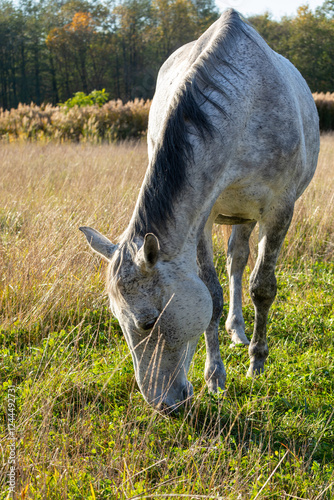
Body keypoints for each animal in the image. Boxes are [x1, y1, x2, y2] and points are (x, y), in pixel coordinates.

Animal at [79, 9, 320, 412]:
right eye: (118, 320)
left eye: (147, 322)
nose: (163, 405)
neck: (247, 105)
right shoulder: (203, 217)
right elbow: (212, 292)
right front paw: (215, 377)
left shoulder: (279, 210)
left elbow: (263, 287)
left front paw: (257, 364)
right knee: (235, 261)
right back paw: (235, 329)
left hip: (250, 215)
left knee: (241, 263)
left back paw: (244, 338)